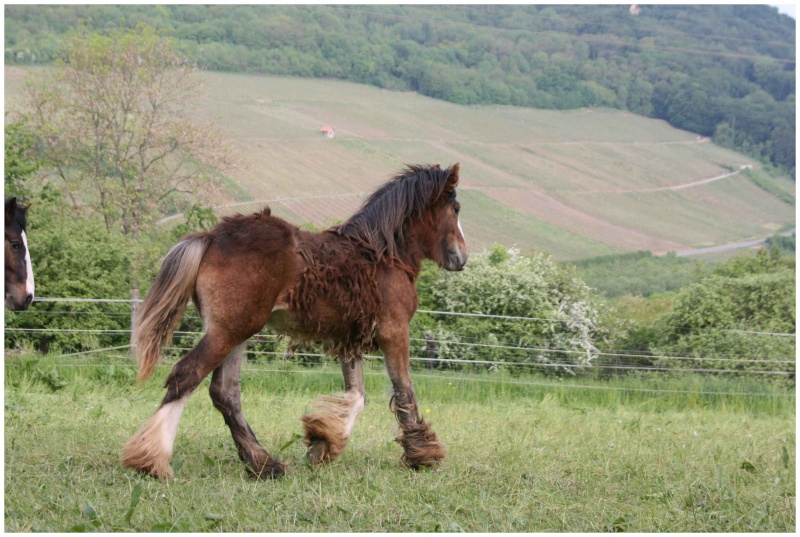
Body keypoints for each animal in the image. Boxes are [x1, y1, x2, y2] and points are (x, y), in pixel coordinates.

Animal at [120, 162, 468, 478]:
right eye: (455, 208)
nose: (462, 258)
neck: (383, 255)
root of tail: (212, 237)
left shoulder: (349, 338)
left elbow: (357, 397)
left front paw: (322, 445)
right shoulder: (394, 331)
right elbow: (404, 390)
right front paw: (422, 454)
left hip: (234, 331)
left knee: (225, 392)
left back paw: (264, 464)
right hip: (231, 330)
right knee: (187, 375)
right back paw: (151, 460)